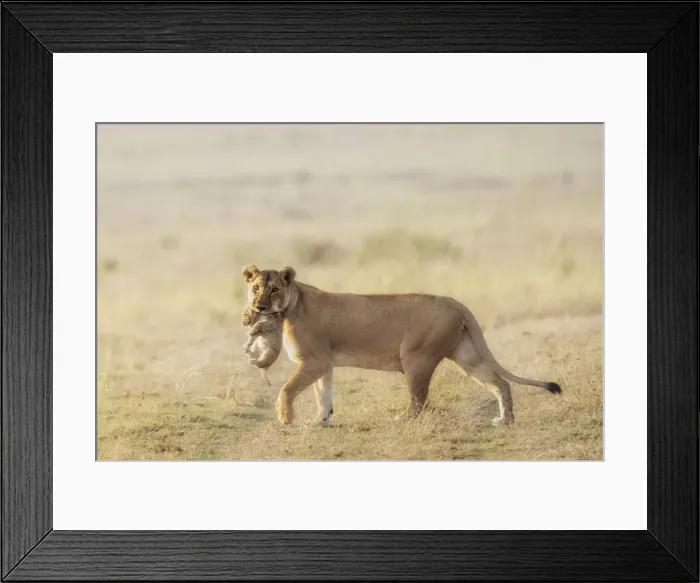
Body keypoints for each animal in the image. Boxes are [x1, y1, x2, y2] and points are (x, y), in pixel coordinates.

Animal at [241, 264, 561, 427]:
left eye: (274, 289)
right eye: (255, 287)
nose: (258, 307)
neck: (290, 307)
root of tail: (454, 302)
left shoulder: (314, 361)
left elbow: (287, 389)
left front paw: (285, 418)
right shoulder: (324, 364)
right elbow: (324, 396)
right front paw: (321, 421)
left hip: (415, 358)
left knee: (420, 402)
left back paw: (401, 419)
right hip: (466, 355)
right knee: (500, 383)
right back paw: (505, 420)